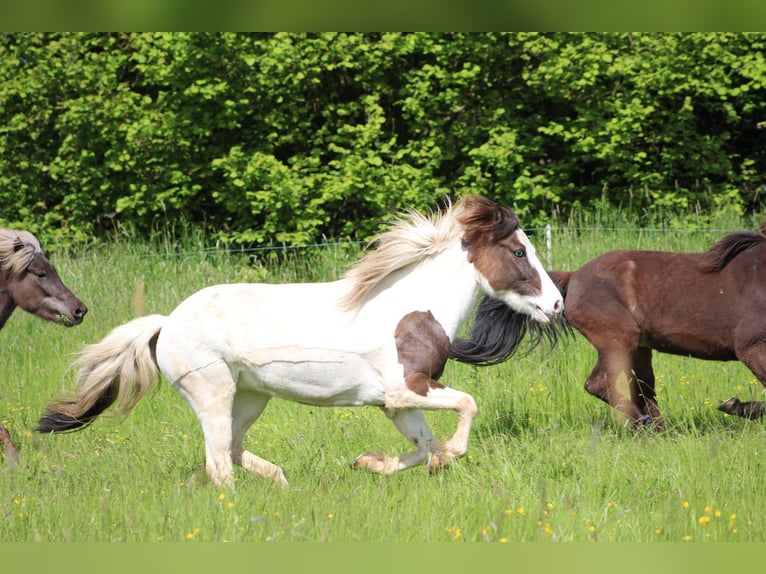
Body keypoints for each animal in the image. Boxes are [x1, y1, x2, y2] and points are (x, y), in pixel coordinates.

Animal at [37, 196, 564, 488]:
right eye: (519, 251)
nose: (557, 304)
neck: (412, 313)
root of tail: (167, 323)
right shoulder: (406, 389)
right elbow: (466, 408)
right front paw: (447, 457)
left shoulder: (395, 404)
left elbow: (421, 447)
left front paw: (367, 462)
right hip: (213, 394)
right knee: (218, 465)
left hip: (250, 398)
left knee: (231, 450)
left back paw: (281, 482)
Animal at [450, 225, 766, 432]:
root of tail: (573, 277)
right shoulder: (751, 348)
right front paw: (735, 405)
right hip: (618, 340)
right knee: (600, 384)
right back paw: (643, 423)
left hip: (639, 347)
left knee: (643, 390)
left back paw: (660, 431)